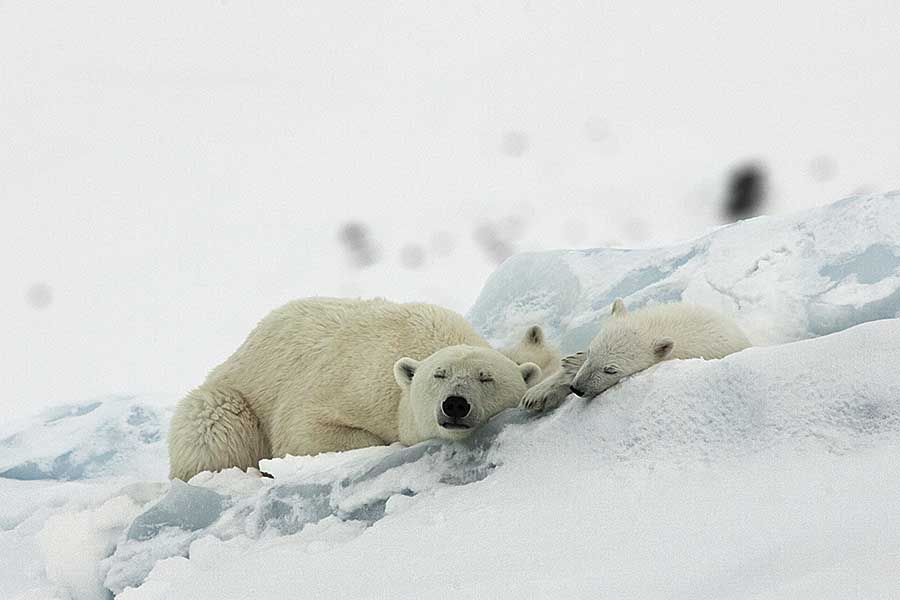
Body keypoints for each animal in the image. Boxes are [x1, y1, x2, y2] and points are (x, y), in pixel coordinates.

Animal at [169, 298, 540, 480]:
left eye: (485, 377)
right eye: (439, 374)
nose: (455, 405)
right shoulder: (356, 381)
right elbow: (302, 430)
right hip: (229, 399)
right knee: (214, 426)